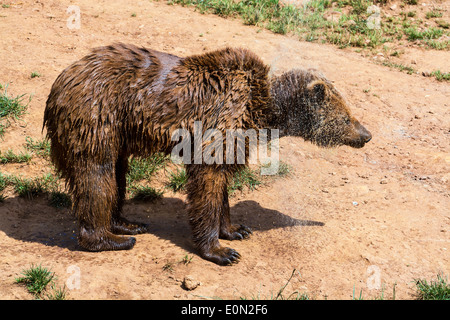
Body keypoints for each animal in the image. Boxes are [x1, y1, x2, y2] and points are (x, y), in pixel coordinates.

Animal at [43, 43, 372, 266]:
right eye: (346, 117)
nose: (366, 134)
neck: (264, 109)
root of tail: (60, 81)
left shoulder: (238, 136)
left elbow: (222, 181)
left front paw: (236, 229)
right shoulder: (223, 118)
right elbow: (208, 181)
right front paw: (221, 251)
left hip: (115, 130)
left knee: (116, 175)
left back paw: (127, 223)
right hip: (97, 115)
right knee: (97, 176)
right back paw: (111, 239)